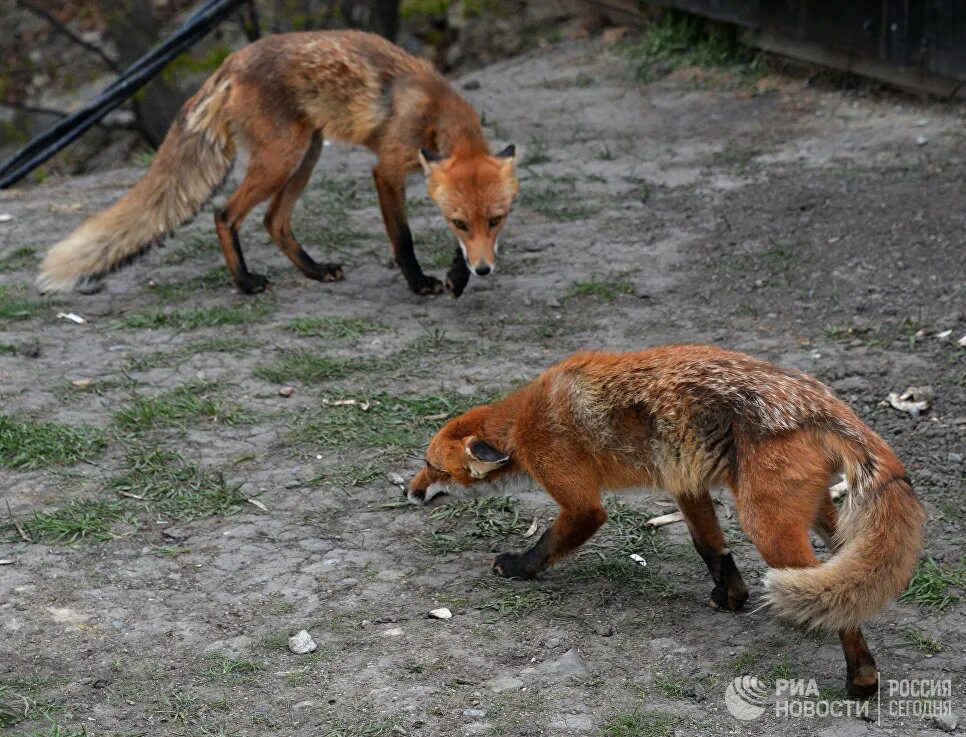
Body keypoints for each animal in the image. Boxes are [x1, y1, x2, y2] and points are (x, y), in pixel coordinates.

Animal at [36, 30, 520, 296]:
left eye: (496, 220)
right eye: (460, 222)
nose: (485, 270)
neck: (436, 113)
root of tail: (232, 60)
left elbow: (456, 245)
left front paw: (459, 277)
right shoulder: (386, 172)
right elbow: (403, 239)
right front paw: (419, 283)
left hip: (307, 153)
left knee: (273, 221)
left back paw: (313, 270)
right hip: (282, 157)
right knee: (224, 214)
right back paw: (245, 282)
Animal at [406, 344, 924, 696]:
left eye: (433, 467)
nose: (407, 492)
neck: (522, 421)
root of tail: (817, 398)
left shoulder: (580, 500)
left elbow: (549, 542)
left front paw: (517, 568)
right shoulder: (686, 483)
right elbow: (711, 548)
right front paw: (731, 596)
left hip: (766, 524)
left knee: (829, 590)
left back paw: (862, 677)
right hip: (821, 515)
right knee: (849, 576)